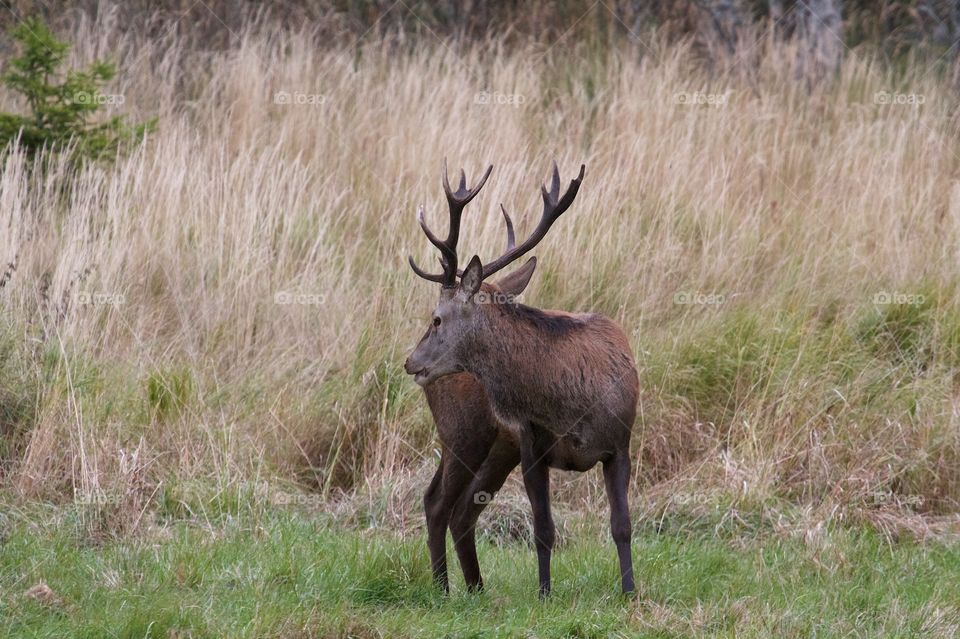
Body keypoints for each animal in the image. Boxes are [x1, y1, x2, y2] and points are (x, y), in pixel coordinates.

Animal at [404, 161, 636, 600]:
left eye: (436, 319)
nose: (410, 361)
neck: (573, 407)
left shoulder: (620, 444)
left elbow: (622, 525)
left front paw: (631, 592)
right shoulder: (532, 443)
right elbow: (543, 529)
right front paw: (545, 594)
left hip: (497, 448)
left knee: (460, 510)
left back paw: (476, 589)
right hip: (462, 430)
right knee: (436, 501)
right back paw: (443, 589)